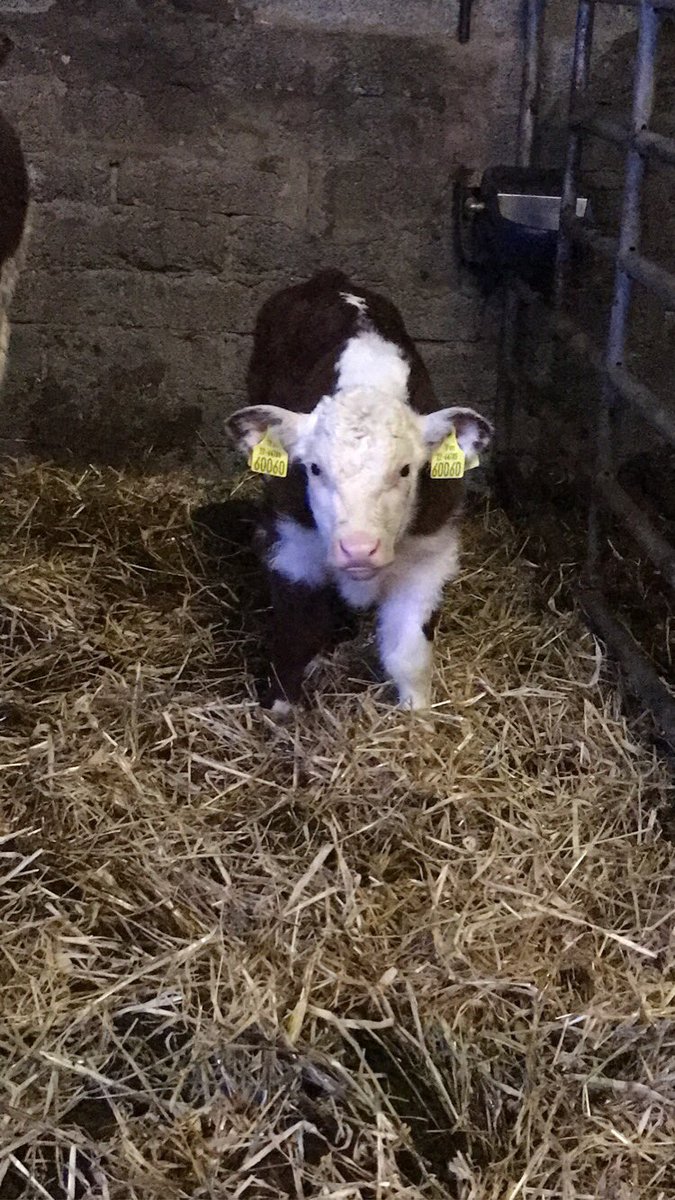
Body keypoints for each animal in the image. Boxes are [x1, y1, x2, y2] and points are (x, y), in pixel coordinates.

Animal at [226, 269, 492, 715]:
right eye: (314, 468)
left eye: (405, 469)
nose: (358, 549)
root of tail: (328, 277)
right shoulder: (294, 547)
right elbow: (296, 633)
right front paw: (280, 710)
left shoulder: (430, 557)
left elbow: (408, 652)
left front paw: (417, 715)